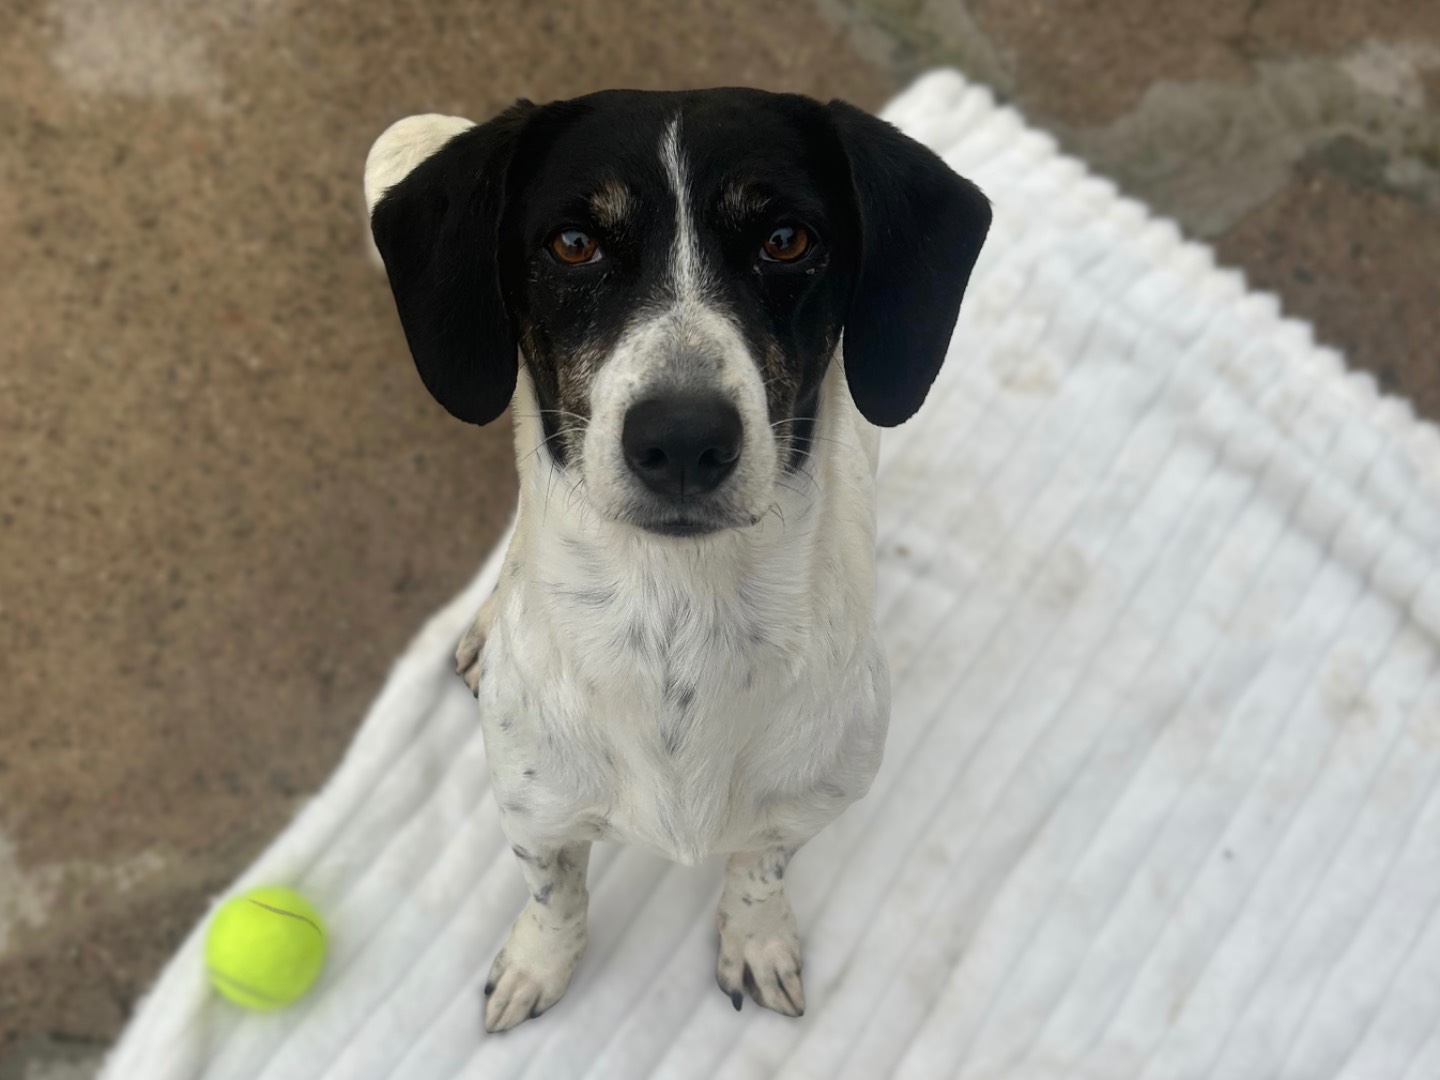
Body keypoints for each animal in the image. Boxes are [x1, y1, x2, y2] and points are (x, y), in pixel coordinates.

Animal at [363, 88, 990, 1032]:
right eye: (573, 242)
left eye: (786, 238)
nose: (685, 438)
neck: (676, 616)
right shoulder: (536, 815)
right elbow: (555, 896)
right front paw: (539, 963)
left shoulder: (806, 805)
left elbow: (758, 873)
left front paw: (756, 941)